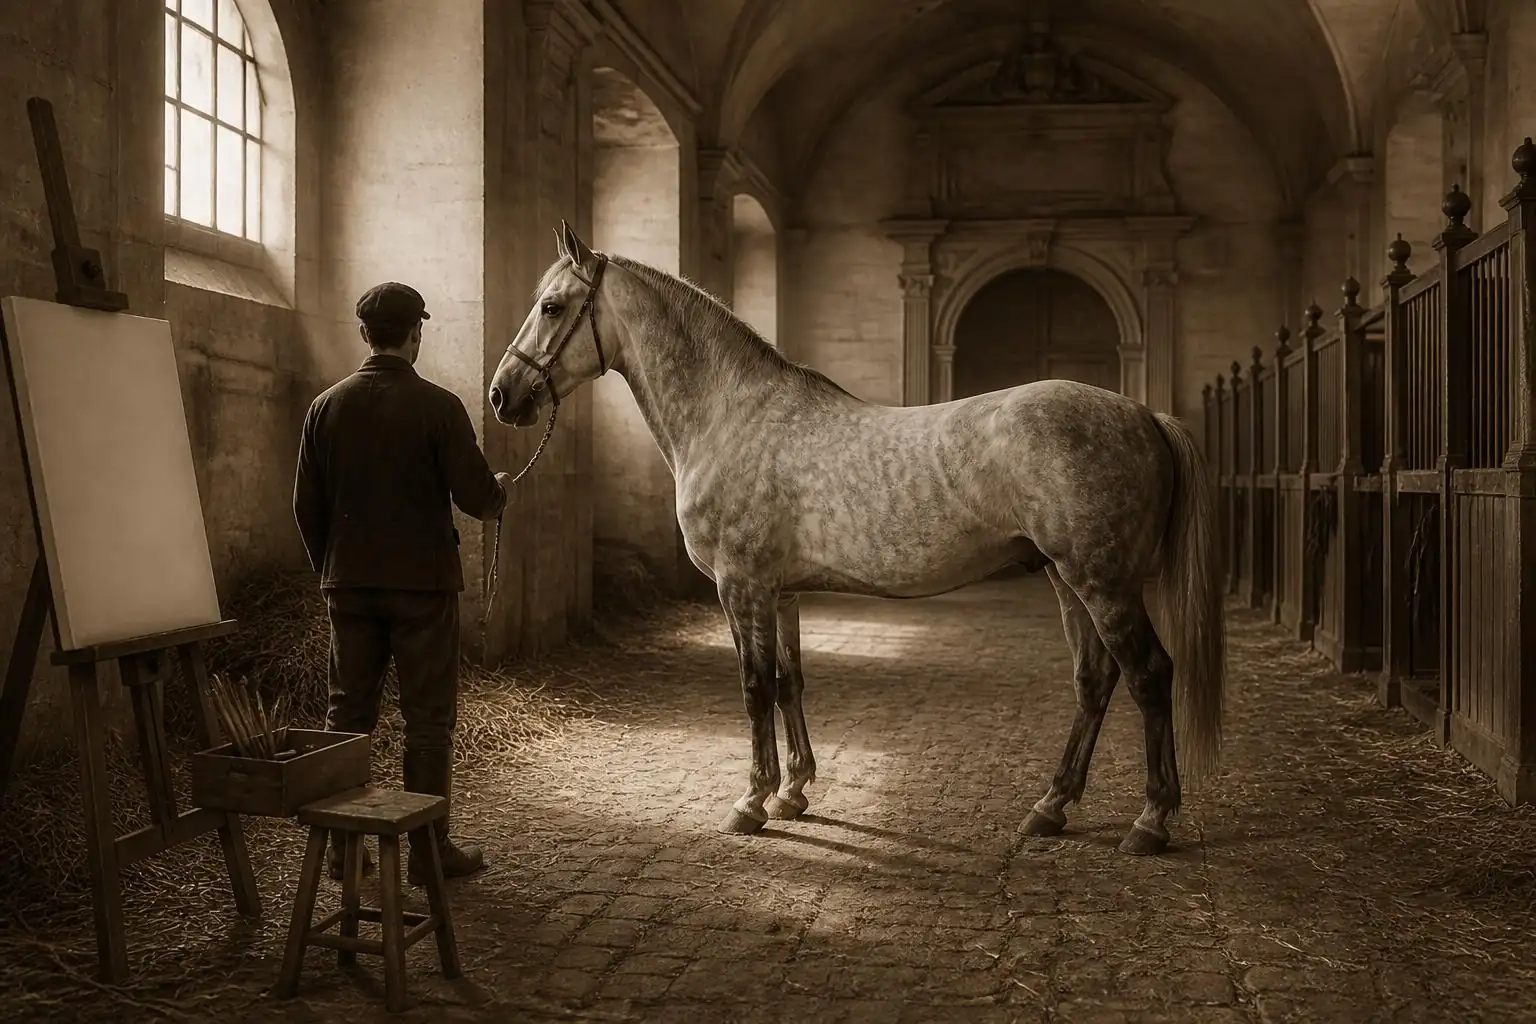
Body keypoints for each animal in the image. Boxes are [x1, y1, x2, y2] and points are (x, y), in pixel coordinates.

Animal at [487, 220, 1227, 856]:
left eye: (552, 306)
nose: (502, 395)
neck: (728, 414)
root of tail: (1144, 415)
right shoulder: (780, 593)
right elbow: (789, 682)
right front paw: (793, 793)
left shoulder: (741, 586)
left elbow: (753, 687)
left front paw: (750, 803)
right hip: (1068, 579)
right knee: (1094, 679)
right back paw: (1050, 807)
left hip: (1103, 585)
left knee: (1150, 675)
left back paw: (1150, 821)